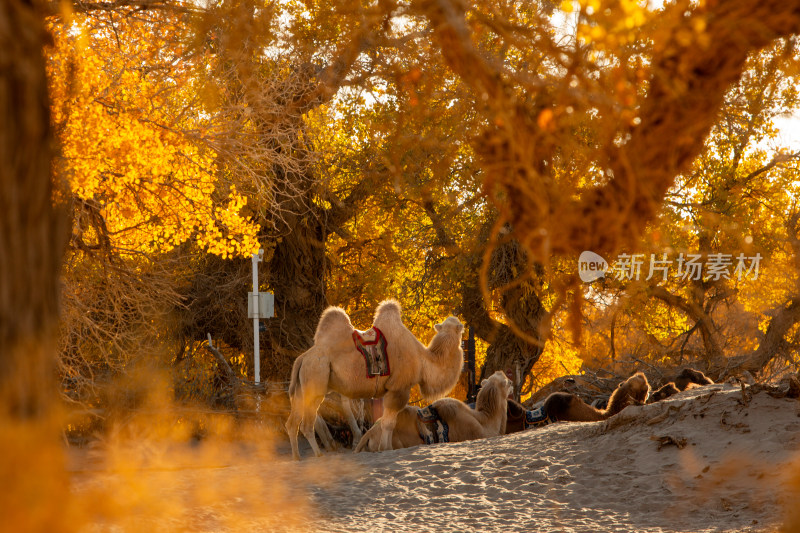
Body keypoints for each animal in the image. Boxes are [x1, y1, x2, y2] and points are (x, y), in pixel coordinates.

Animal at [286, 300, 462, 458]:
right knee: (306, 424)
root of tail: (302, 358)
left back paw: (296, 457)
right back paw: (318, 455)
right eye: (460, 327)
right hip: (315, 378)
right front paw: (385, 448)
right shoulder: (399, 388)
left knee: (292, 423)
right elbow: (388, 423)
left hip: (301, 387)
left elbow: (386, 421)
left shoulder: (390, 390)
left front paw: (386, 447)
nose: (462, 326)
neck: (422, 359)